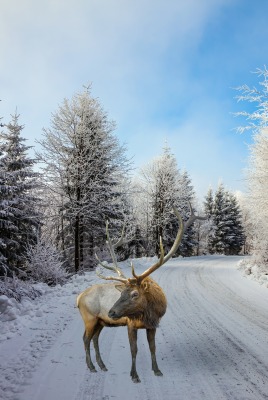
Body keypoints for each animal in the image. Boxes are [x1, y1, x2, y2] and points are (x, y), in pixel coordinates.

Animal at [76, 205, 204, 382]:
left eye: (135, 294)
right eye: (122, 293)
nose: (111, 312)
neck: (148, 312)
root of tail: (79, 298)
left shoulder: (153, 324)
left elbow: (152, 347)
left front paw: (157, 370)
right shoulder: (131, 323)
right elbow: (134, 349)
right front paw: (134, 375)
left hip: (100, 321)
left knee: (94, 338)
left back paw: (102, 366)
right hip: (90, 318)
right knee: (85, 339)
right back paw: (91, 367)